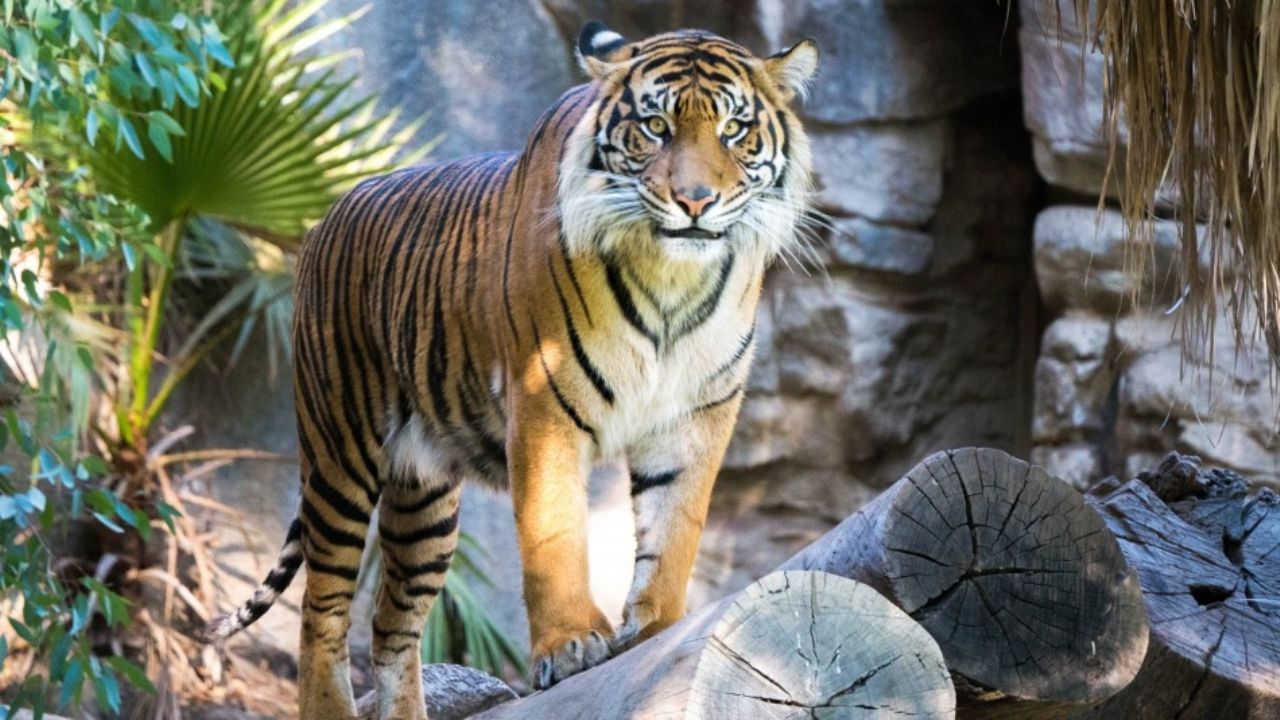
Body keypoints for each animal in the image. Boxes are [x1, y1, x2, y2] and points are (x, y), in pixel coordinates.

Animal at [204, 21, 818, 720]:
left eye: (734, 130)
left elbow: (675, 528)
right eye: (656, 127)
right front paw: (572, 644)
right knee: (322, 608)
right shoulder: (544, 399)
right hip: (340, 454)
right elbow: (555, 532)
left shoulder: (697, 413)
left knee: (392, 624)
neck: (673, 277)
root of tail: (325, 217)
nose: (695, 201)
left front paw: (658, 632)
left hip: (423, 501)